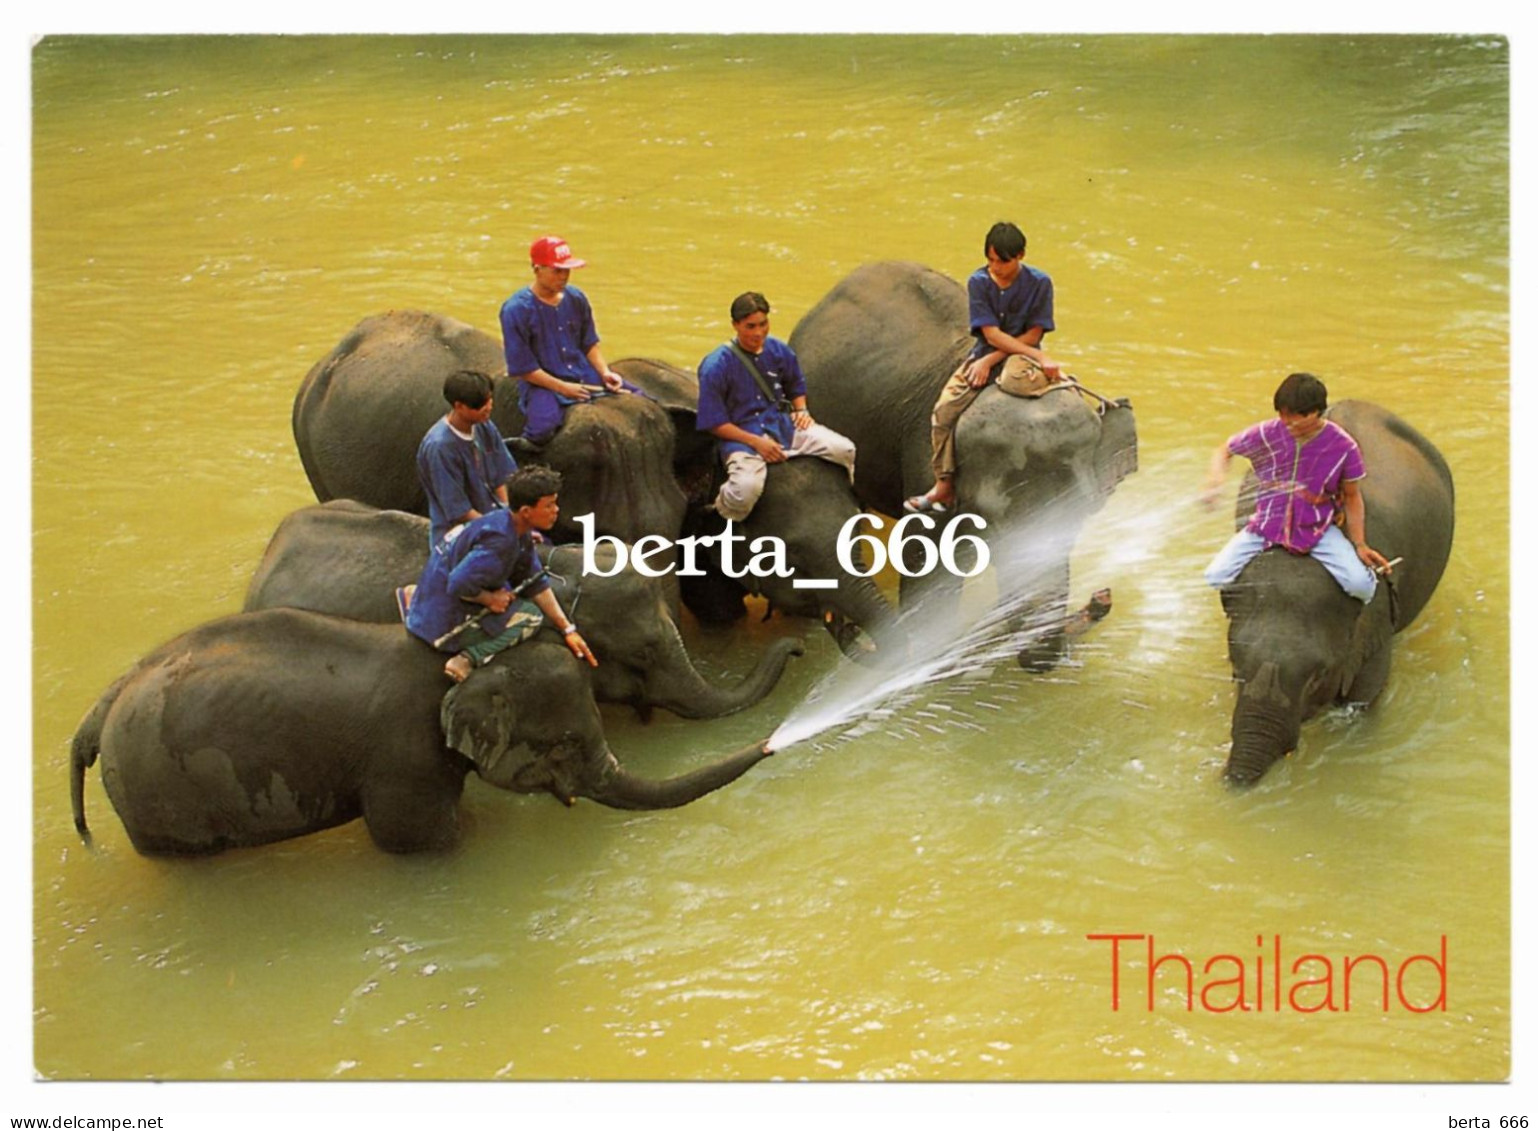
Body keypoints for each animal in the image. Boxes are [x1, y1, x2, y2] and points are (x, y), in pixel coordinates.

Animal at [69, 609, 769, 855]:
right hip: (153, 792)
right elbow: (415, 839)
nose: (770, 743)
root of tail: (98, 712)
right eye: (566, 743)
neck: (466, 664)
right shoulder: (403, 757)